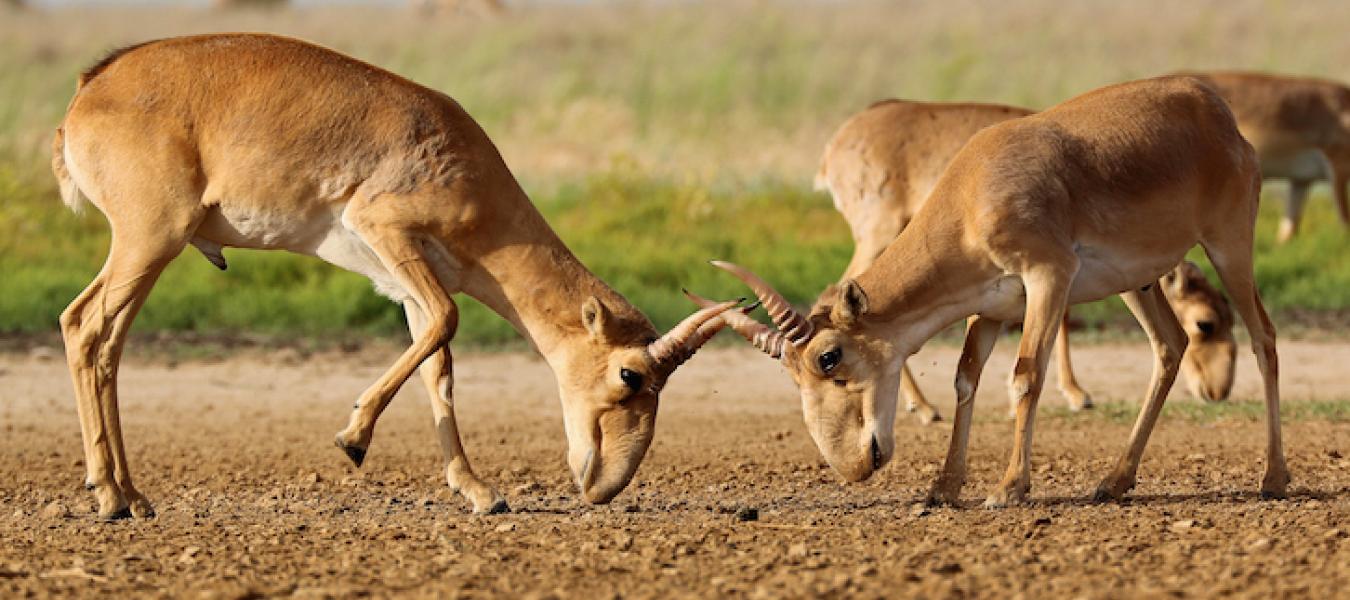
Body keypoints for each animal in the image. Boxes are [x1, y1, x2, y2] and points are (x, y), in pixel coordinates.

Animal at [52, 33, 734, 521]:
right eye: (630, 374)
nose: (603, 489)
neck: (461, 156)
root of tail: (89, 89)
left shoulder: (405, 280)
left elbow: (438, 363)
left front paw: (479, 491)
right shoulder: (388, 232)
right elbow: (448, 323)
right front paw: (352, 438)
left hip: (148, 251)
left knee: (106, 343)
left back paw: (132, 495)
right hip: (150, 241)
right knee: (83, 325)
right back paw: (109, 497)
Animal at [810, 99, 1236, 421]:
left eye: (1229, 318)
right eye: (1206, 323)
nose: (1218, 391)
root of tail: (833, 148)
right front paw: (1077, 393)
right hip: (878, 235)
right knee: (834, 293)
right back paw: (925, 406)